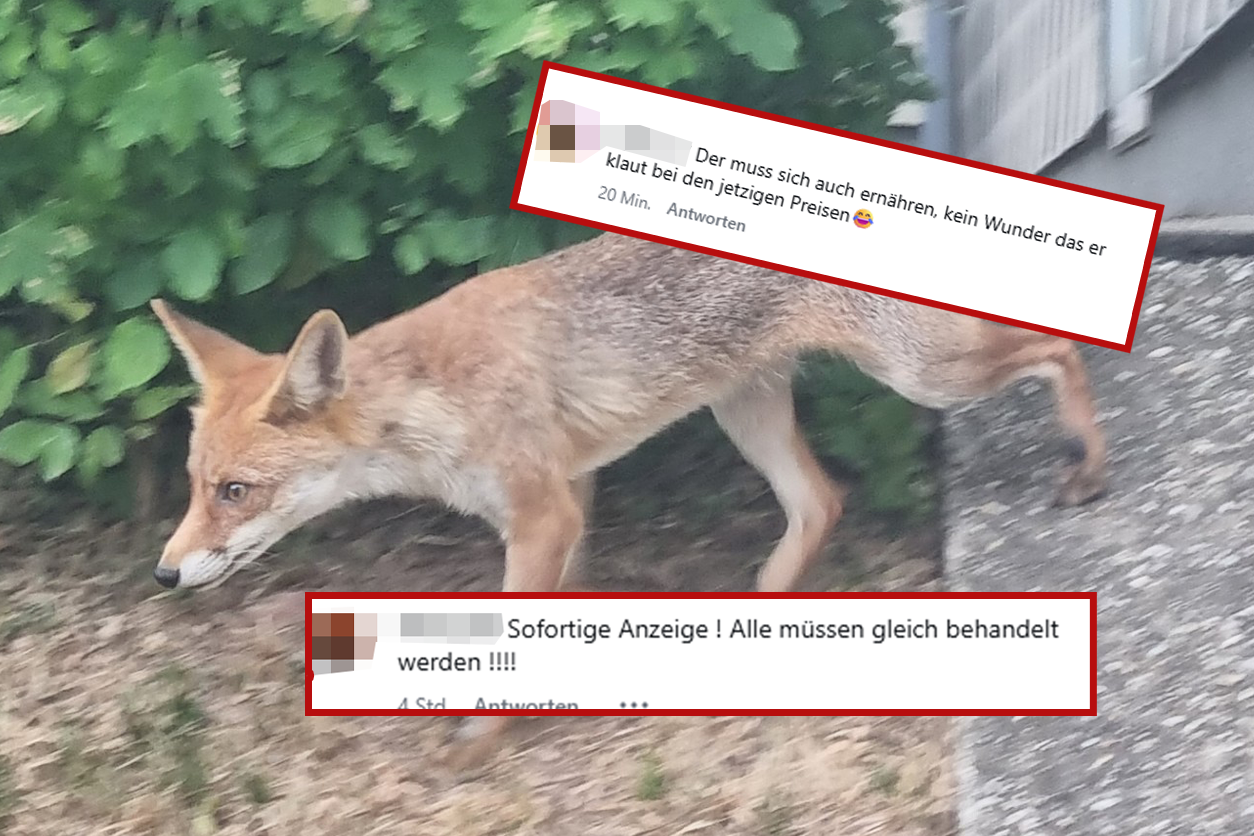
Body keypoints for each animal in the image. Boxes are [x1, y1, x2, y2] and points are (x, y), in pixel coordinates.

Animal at [151, 231, 1107, 766]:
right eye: (197, 486)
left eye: (236, 492)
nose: (164, 573)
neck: (434, 403)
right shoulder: (569, 494)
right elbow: (560, 616)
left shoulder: (544, 512)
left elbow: (514, 636)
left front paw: (481, 741)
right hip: (751, 412)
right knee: (822, 502)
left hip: (925, 376)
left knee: (1059, 347)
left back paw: (1088, 462)